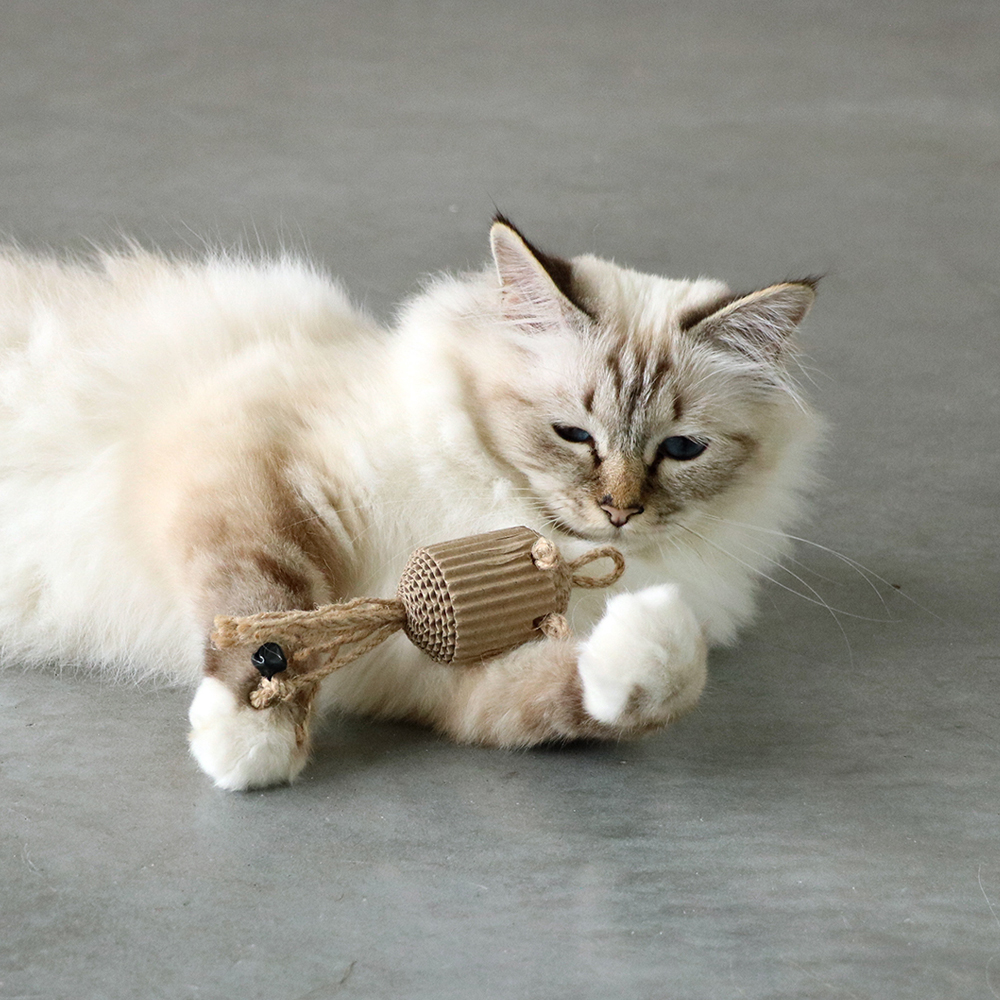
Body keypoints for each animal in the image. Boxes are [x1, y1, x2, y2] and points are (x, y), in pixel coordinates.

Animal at [0, 217, 816, 788]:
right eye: (573, 435)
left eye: (680, 450)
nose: (619, 512)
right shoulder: (260, 469)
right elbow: (268, 609)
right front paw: (252, 737)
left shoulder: (441, 679)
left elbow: (631, 690)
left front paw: (646, 646)